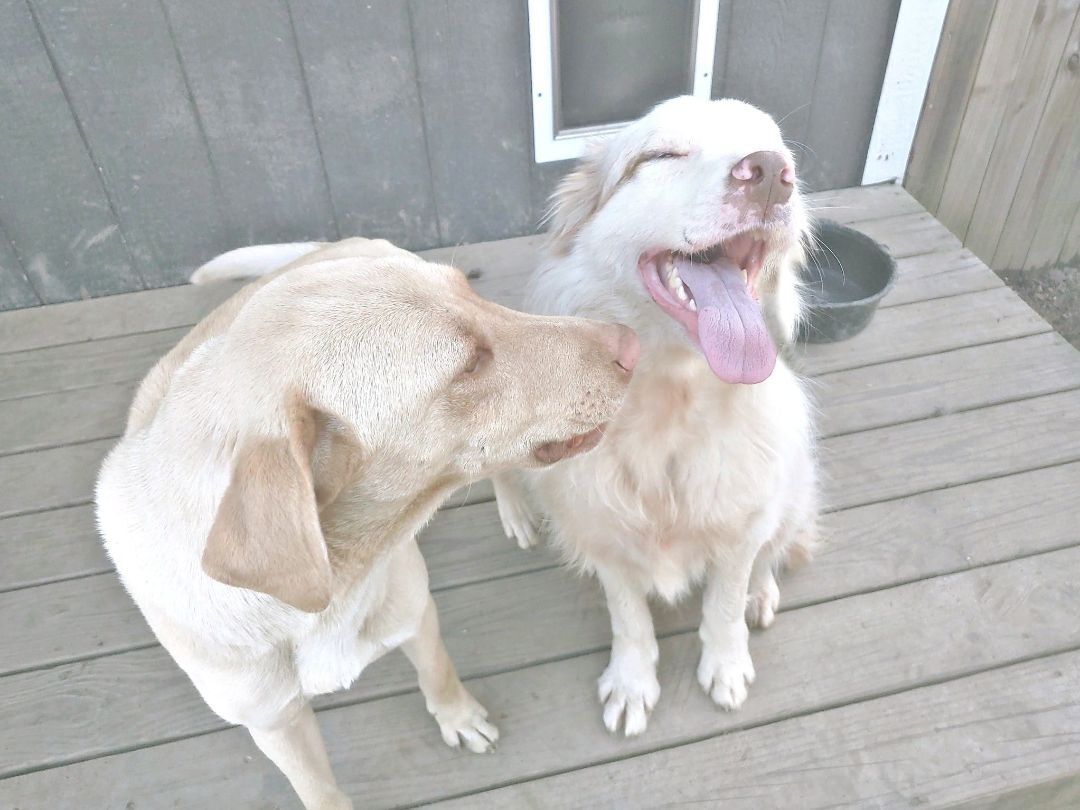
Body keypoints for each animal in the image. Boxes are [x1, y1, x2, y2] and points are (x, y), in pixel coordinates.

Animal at [97, 237, 635, 807]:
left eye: (472, 293)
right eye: (469, 364)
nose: (633, 339)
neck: (331, 588)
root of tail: (326, 243)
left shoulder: (415, 614)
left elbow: (439, 674)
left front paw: (459, 718)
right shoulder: (275, 723)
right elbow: (319, 790)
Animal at [496, 98, 816, 738]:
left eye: (778, 150)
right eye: (660, 155)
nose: (772, 173)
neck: (672, 407)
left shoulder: (742, 526)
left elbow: (725, 600)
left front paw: (726, 663)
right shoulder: (603, 535)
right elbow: (629, 618)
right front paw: (632, 683)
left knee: (775, 552)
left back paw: (761, 595)